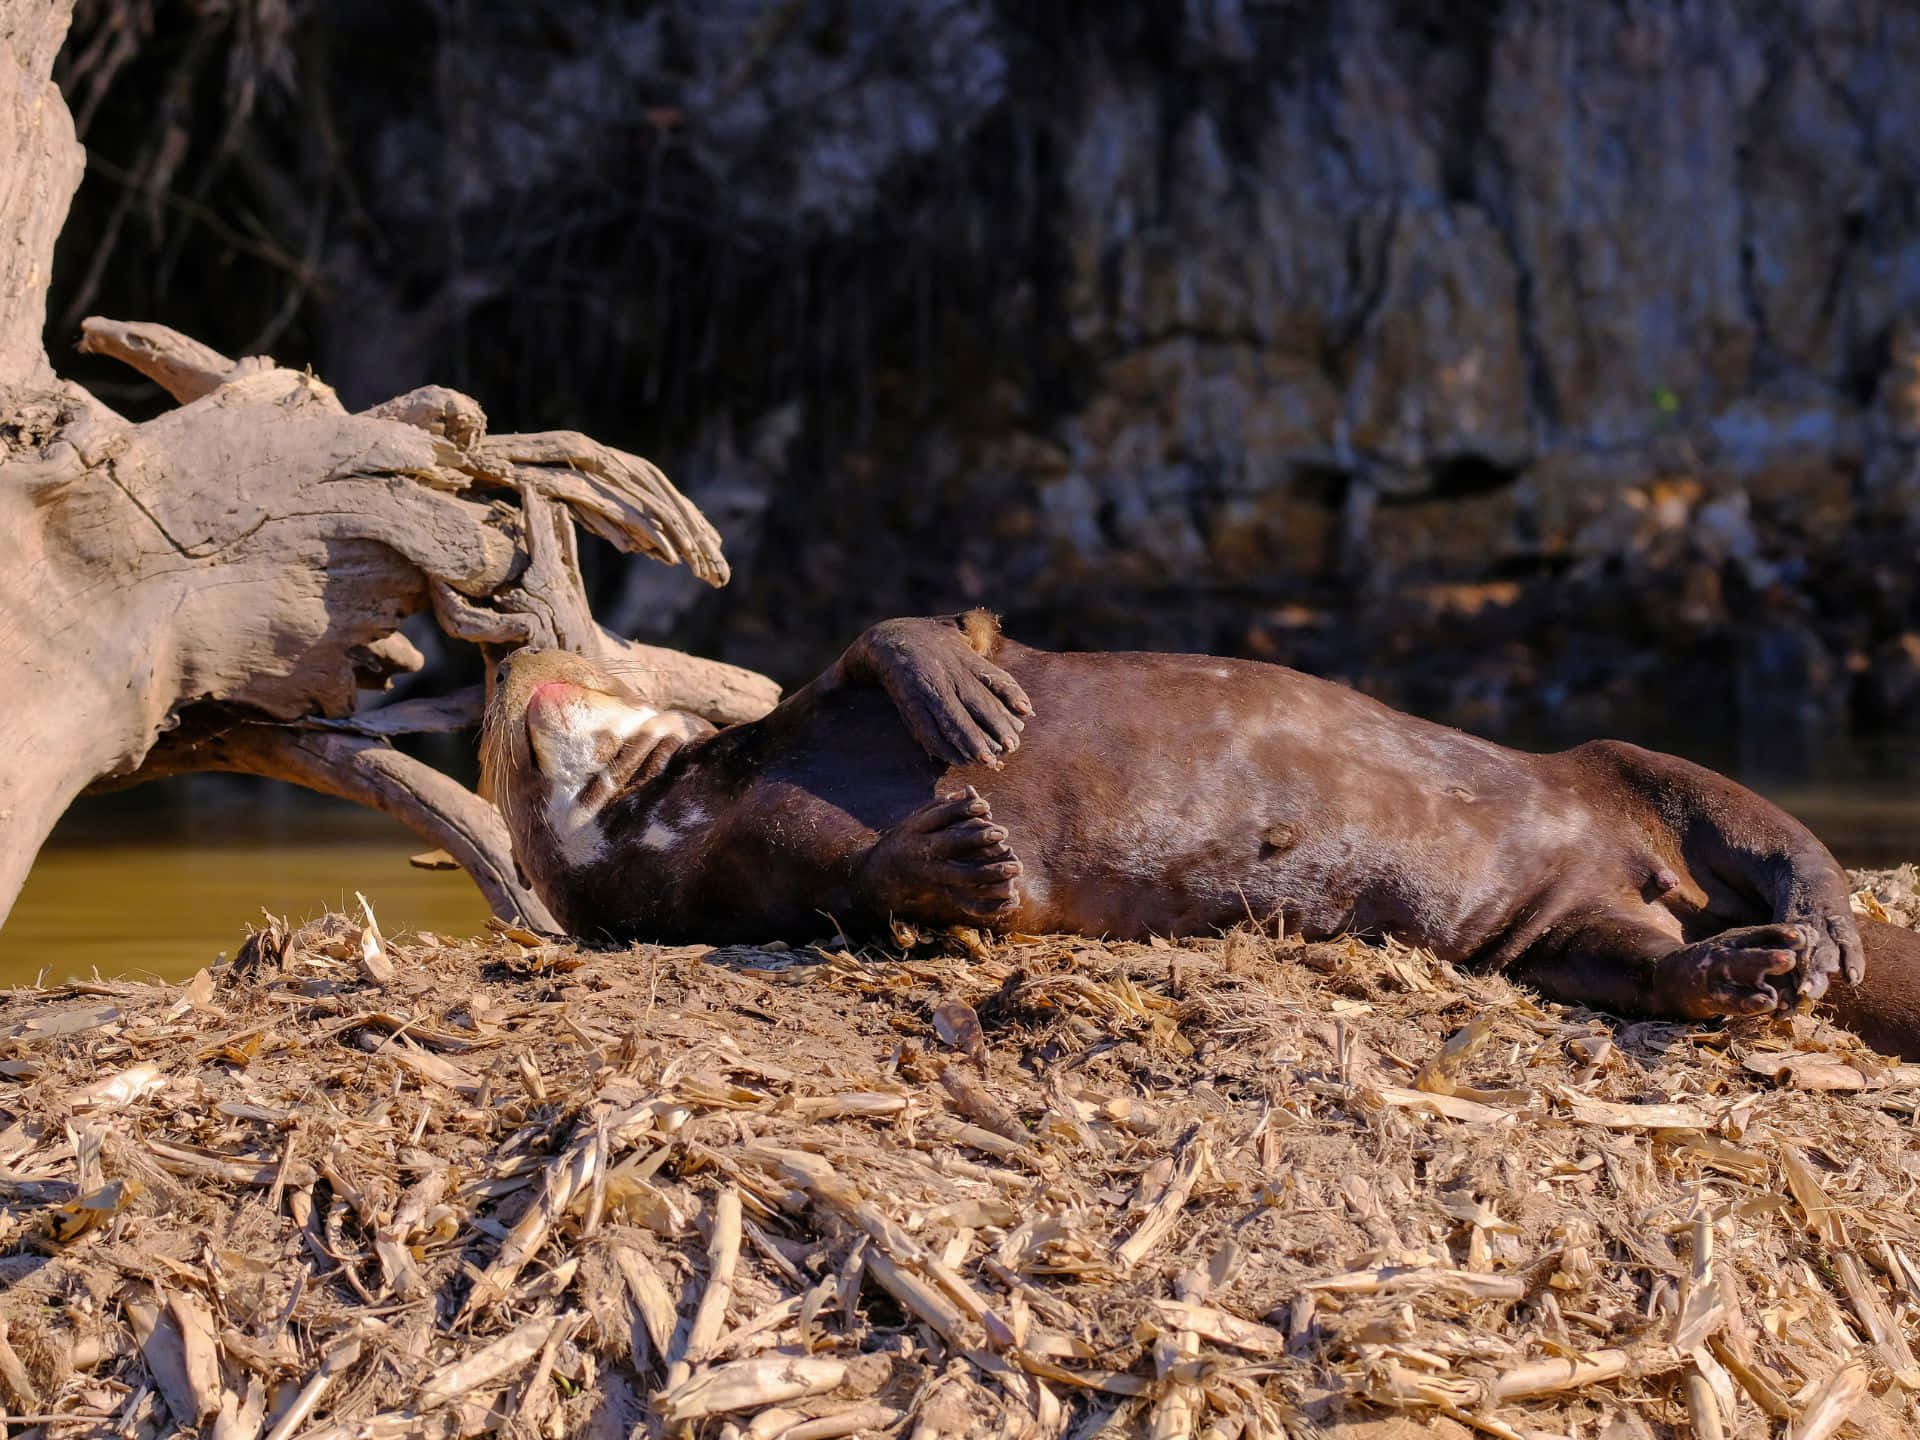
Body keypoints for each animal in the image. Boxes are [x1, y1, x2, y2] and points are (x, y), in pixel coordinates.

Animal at [476, 610, 1920, 1059]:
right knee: (1636, 959)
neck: (699, 795)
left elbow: (877, 642)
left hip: (1619, 770)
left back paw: (1821, 922)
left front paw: (953, 685)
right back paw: (1743, 969)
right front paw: (958, 859)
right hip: (1560, 930)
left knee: (1748, 818)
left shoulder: (783, 718)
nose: (510, 659)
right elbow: (855, 888)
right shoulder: (737, 882)